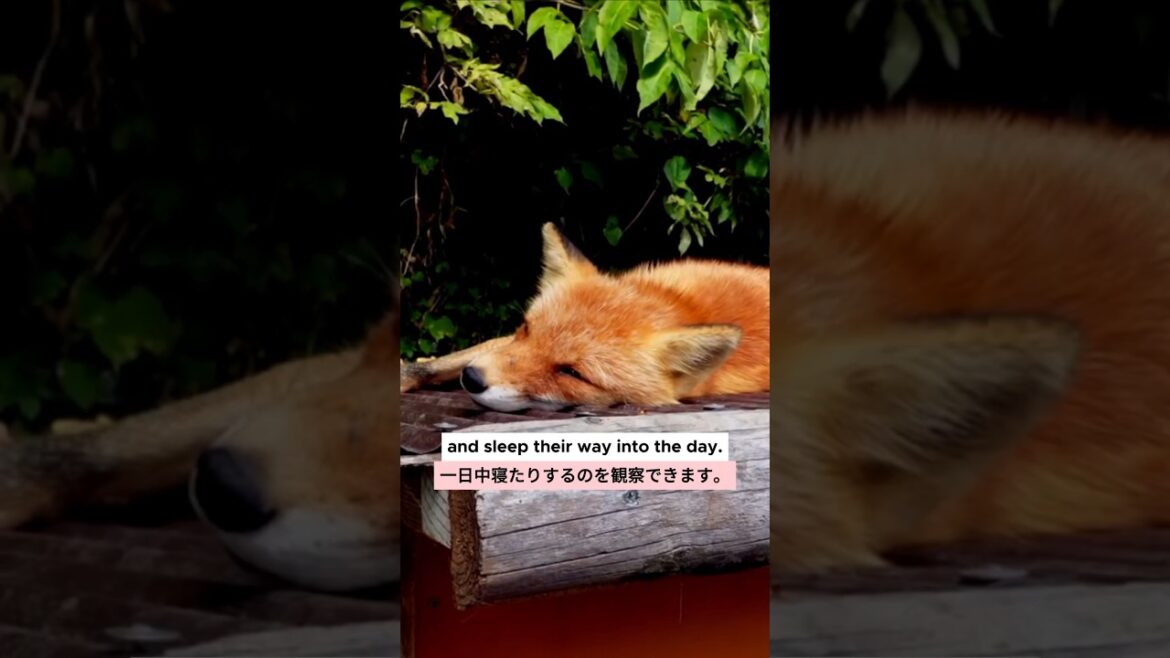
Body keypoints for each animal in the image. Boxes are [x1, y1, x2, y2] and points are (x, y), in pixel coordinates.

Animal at [400, 223, 771, 411]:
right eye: (526, 330)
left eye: (572, 373)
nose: (473, 378)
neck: (673, 301)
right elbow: (455, 357)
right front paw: (408, 373)